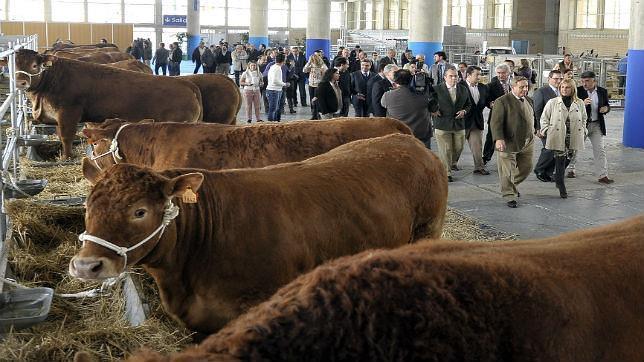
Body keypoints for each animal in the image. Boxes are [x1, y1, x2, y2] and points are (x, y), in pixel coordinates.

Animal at [13, 48, 203, 157]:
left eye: (35, 66)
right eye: (14, 66)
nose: (21, 82)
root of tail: (185, 83)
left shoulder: (68, 113)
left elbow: (67, 137)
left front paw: (67, 157)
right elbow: (60, 135)